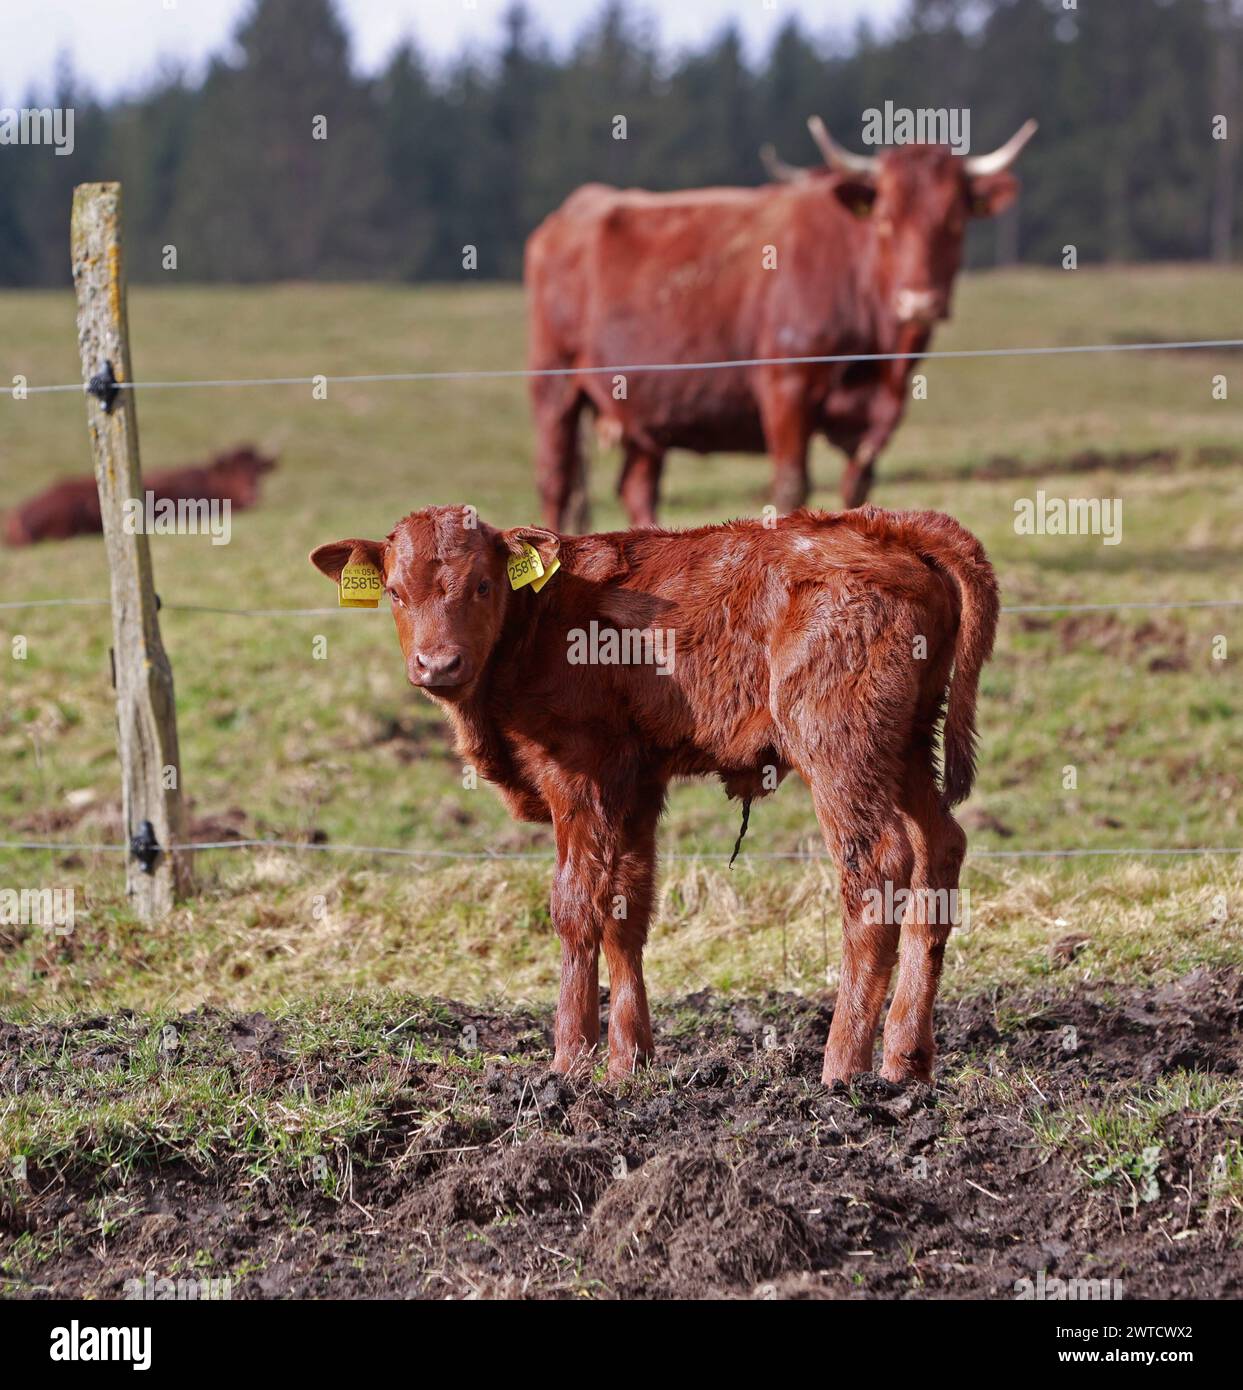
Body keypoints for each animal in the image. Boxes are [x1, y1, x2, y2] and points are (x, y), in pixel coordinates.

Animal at [310, 503, 998, 1088]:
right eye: (395, 592)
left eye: (481, 585)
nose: (437, 664)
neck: (537, 620)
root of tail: (889, 527)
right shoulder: (635, 781)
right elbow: (626, 909)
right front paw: (628, 1062)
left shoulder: (578, 775)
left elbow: (575, 906)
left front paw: (570, 1060)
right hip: (906, 747)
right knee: (940, 849)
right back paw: (906, 1061)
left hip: (840, 747)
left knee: (876, 868)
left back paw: (842, 1068)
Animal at [525, 116, 1036, 531]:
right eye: (886, 218)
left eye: (955, 220)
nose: (919, 301)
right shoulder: (785, 388)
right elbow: (791, 486)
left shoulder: (876, 418)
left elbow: (857, 488)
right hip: (555, 383)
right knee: (555, 481)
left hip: (643, 406)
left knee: (636, 488)